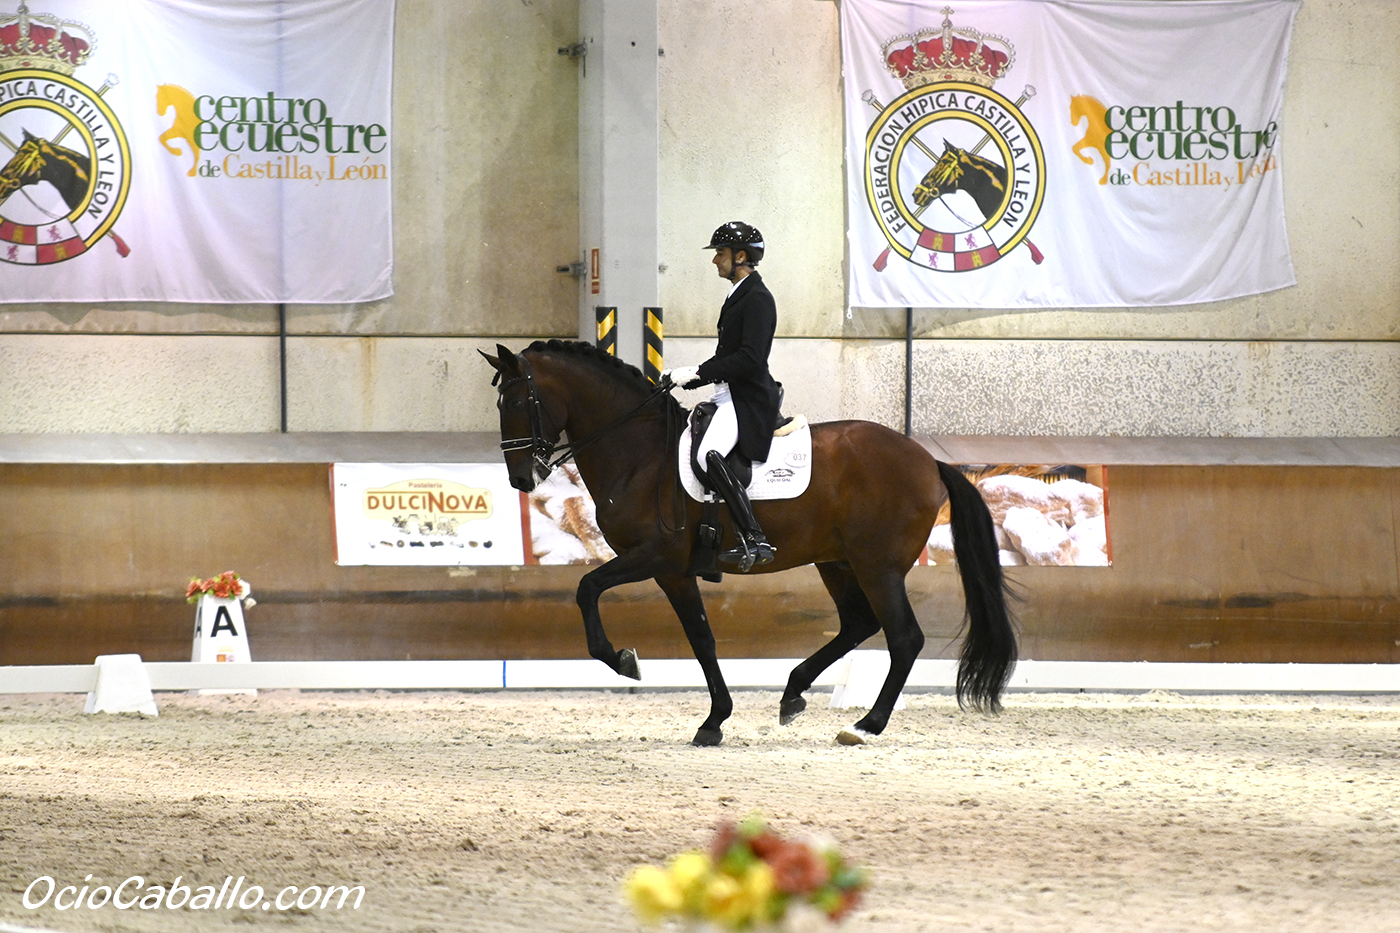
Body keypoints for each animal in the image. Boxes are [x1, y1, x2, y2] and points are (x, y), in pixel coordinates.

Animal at [484, 337, 1019, 745]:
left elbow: (587, 589)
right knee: (857, 624)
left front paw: (624, 661)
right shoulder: (674, 571)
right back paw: (794, 693)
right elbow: (701, 638)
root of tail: (928, 460)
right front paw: (714, 720)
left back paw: (865, 725)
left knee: (904, 637)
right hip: (838, 562)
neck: (639, 454)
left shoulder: (657, 557)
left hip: (878, 566)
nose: (520, 479)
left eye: (518, 402)